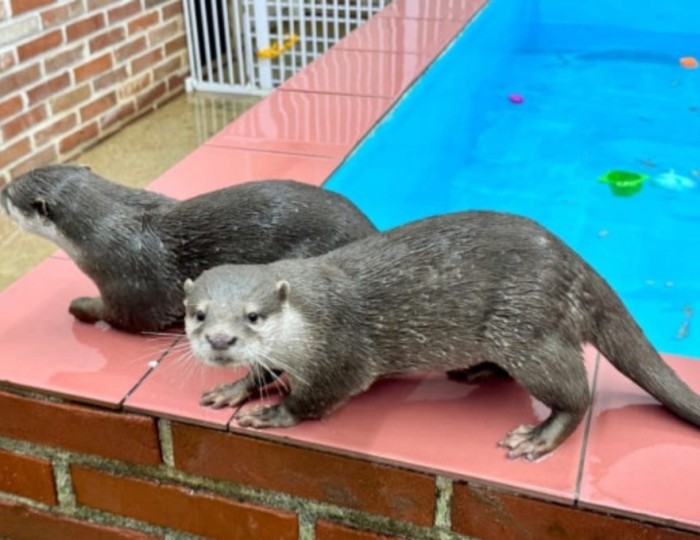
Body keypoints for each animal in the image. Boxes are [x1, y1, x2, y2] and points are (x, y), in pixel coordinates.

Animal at [0, 164, 377, 333]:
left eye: (10, 193)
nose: (1, 191)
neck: (106, 229)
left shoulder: (129, 288)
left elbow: (120, 315)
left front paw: (79, 305)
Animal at [183, 210, 700, 460]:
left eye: (253, 316)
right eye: (199, 315)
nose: (221, 341)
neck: (308, 320)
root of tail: (575, 263)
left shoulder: (342, 355)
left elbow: (317, 397)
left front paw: (273, 413)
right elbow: (262, 371)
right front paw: (234, 388)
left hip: (527, 330)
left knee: (577, 393)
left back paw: (537, 437)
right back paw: (473, 372)